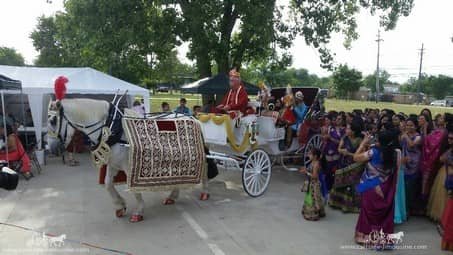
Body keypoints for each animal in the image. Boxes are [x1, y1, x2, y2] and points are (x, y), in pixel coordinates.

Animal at [46, 98, 208, 222]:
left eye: (53, 120)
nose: (51, 148)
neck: (111, 128)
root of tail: (192, 117)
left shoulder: (129, 166)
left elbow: (134, 190)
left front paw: (138, 211)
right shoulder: (113, 164)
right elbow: (108, 185)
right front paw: (120, 206)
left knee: (204, 170)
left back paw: (204, 192)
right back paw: (172, 195)